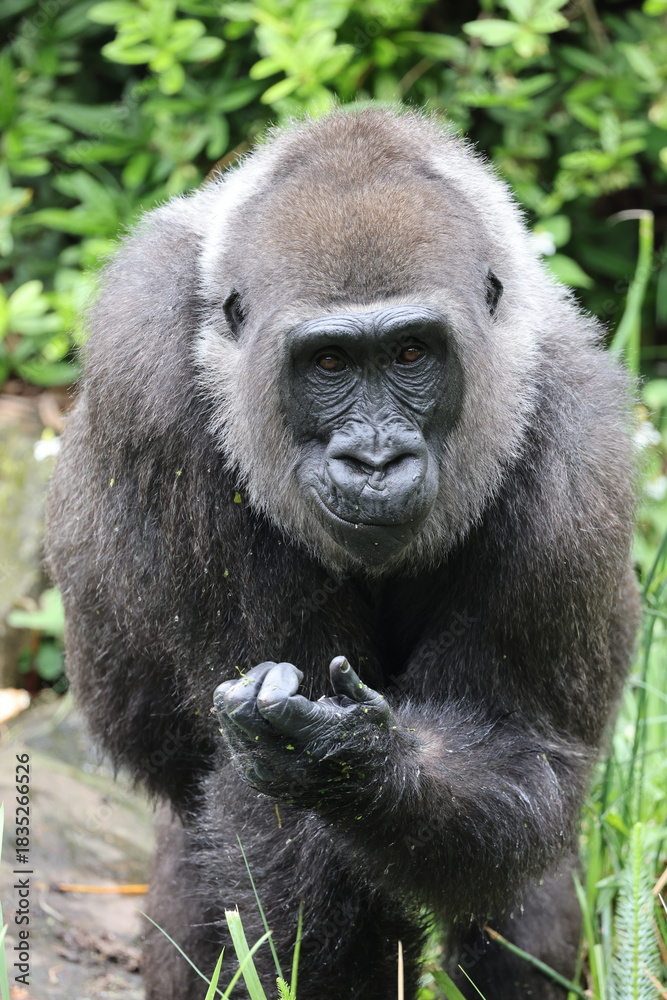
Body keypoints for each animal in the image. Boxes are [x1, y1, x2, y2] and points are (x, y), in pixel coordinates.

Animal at [45, 106, 640, 1000]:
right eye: (327, 362)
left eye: (410, 354)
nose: (373, 461)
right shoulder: (147, 382)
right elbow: (273, 833)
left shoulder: (580, 446)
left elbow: (515, 759)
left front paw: (352, 765)